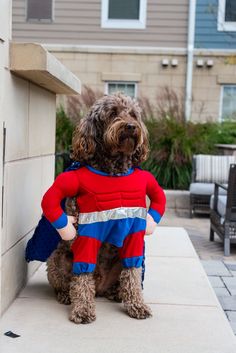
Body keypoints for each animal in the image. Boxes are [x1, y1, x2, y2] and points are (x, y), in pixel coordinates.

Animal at [47, 93, 152, 322]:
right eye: (112, 113)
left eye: (133, 114)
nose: (131, 126)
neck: (113, 172)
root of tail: (100, 286)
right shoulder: (85, 234)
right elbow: (81, 276)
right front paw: (83, 310)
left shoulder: (133, 235)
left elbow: (132, 274)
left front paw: (137, 305)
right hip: (55, 260)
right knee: (67, 283)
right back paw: (66, 295)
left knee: (119, 280)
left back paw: (116, 293)